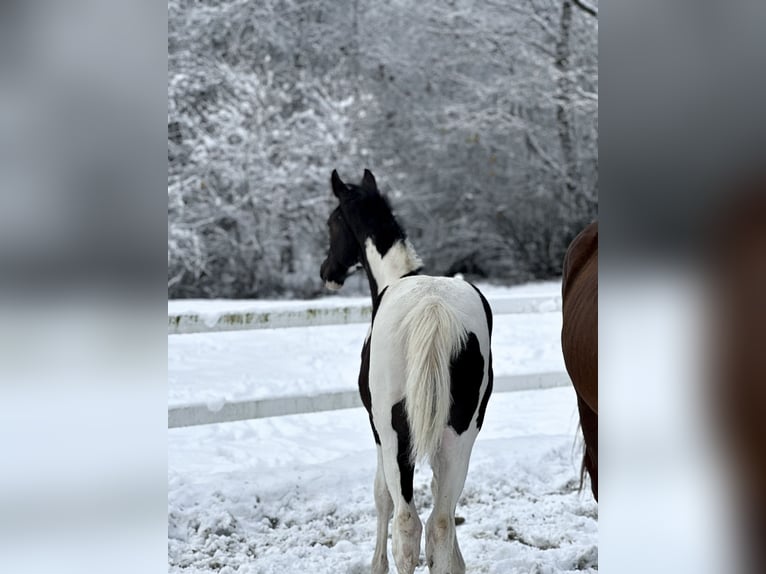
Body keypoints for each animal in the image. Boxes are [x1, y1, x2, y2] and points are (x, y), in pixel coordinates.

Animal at [320, 169, 493, 574]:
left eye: (333, 222)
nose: (326, 273)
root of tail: (433, 307)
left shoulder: (379, 432)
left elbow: (382, 495)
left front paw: (375, 565)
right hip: (461, 434)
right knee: (440, 522)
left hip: (396, 435)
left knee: (407, 524)